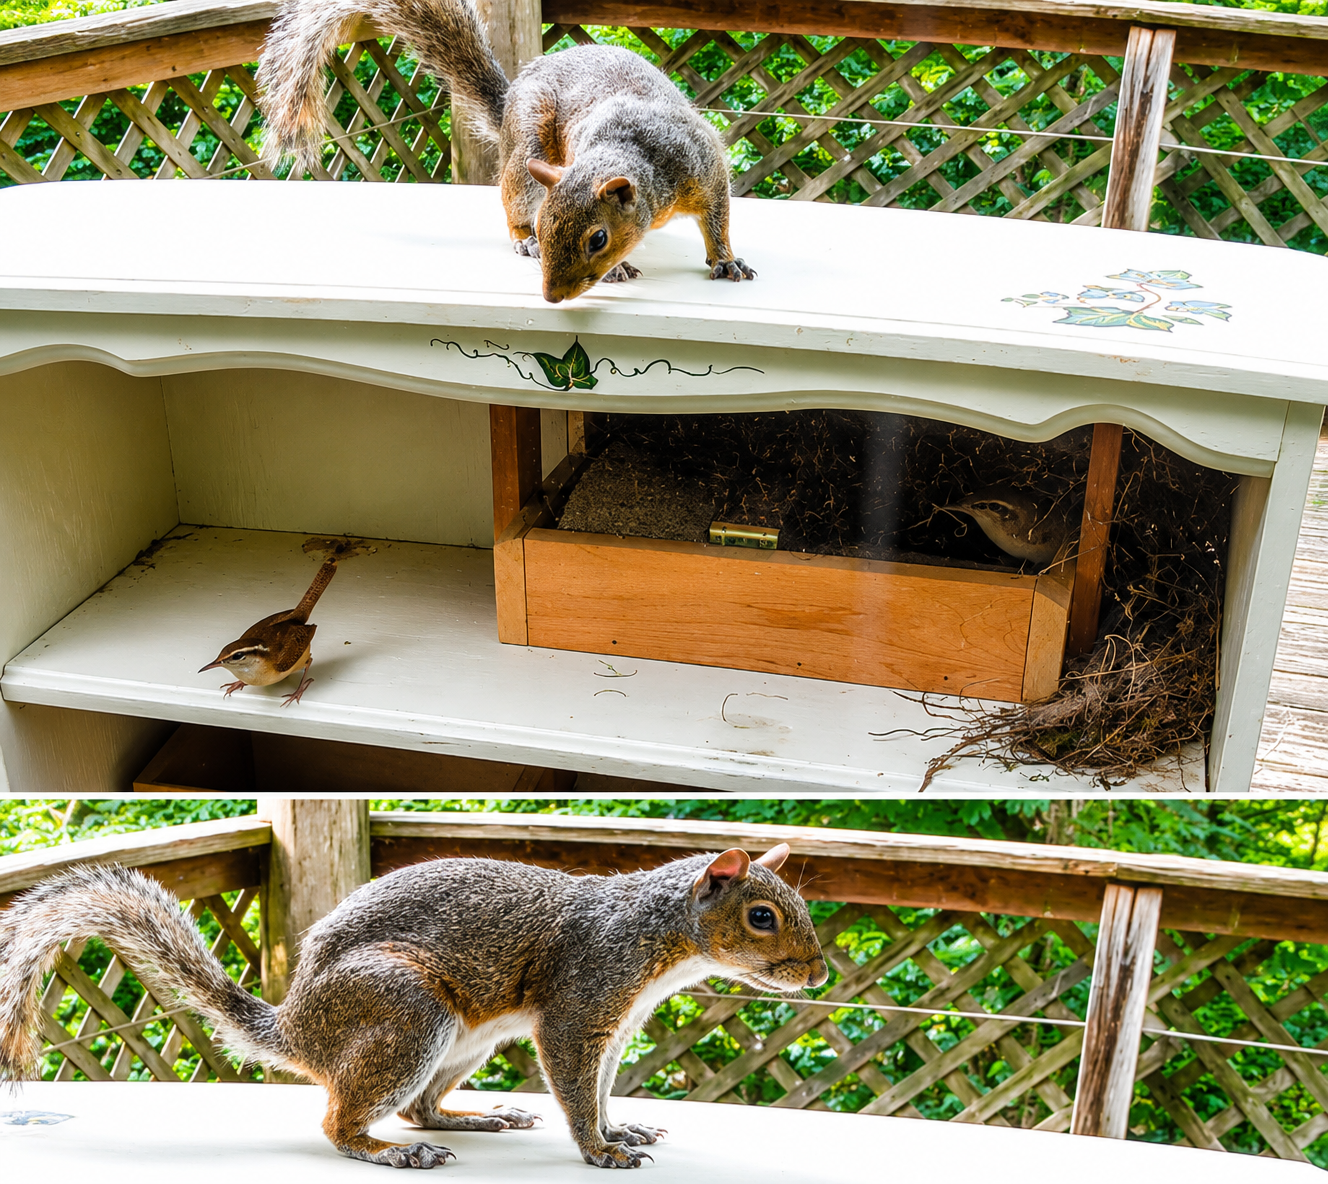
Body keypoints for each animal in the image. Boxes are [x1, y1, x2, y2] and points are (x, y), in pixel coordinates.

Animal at [0, 844, 826, 1170]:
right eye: (761, 917)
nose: (818, 973)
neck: (663, 941)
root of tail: (297, 1028)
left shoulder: (616, 1029)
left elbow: (599, 1089)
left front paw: (620, 1127)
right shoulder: (582, 1001)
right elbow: (573, 1086)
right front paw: (600, 1151)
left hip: (466, 1040)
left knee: (421, 1106)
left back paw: (478, 1117)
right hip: (406, 1013)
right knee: (343, 1122)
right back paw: (392, 1152)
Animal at [257, 0, 757, 303]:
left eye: (598, 239)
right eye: (545, 224)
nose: (551, 297)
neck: (633, 151)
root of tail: (511, 99)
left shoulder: (705, 166)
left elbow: (718, 219)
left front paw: (727, 260)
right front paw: (618, 268)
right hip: (528, 146)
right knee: (513, 200)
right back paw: (522, 240)